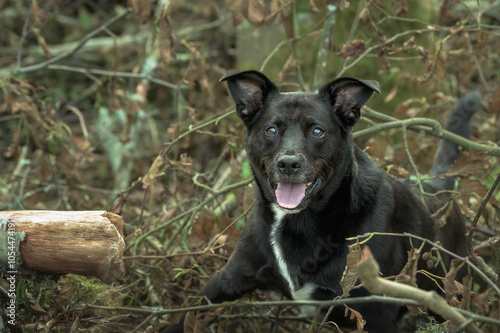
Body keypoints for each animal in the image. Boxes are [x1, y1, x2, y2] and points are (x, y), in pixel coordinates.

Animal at [166, 70, 474, 332]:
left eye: (317, 131)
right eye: (271, 130)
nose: (288, 164)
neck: (300, 222)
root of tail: (438, 188)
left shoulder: (375, 312)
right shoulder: (226, 280)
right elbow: (185, 315)